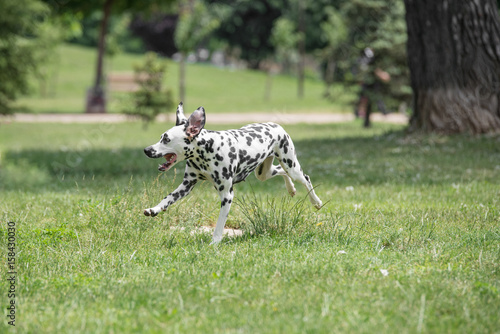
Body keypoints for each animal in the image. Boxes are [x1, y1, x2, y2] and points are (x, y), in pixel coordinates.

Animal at [144, 103, 324, 244]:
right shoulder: (186, 185)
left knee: (305, 178)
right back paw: (291, 189)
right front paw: (154, 209)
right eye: (161, 137)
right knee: (281, 172)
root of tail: (276, 125)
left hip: (291, 166)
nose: (146, 150)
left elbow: (219, 226)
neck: (207, 149)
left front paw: (214, 243)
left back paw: (316, 201)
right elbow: (167, 199)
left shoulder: (227, 195)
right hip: (264, 173)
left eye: (166, 139)